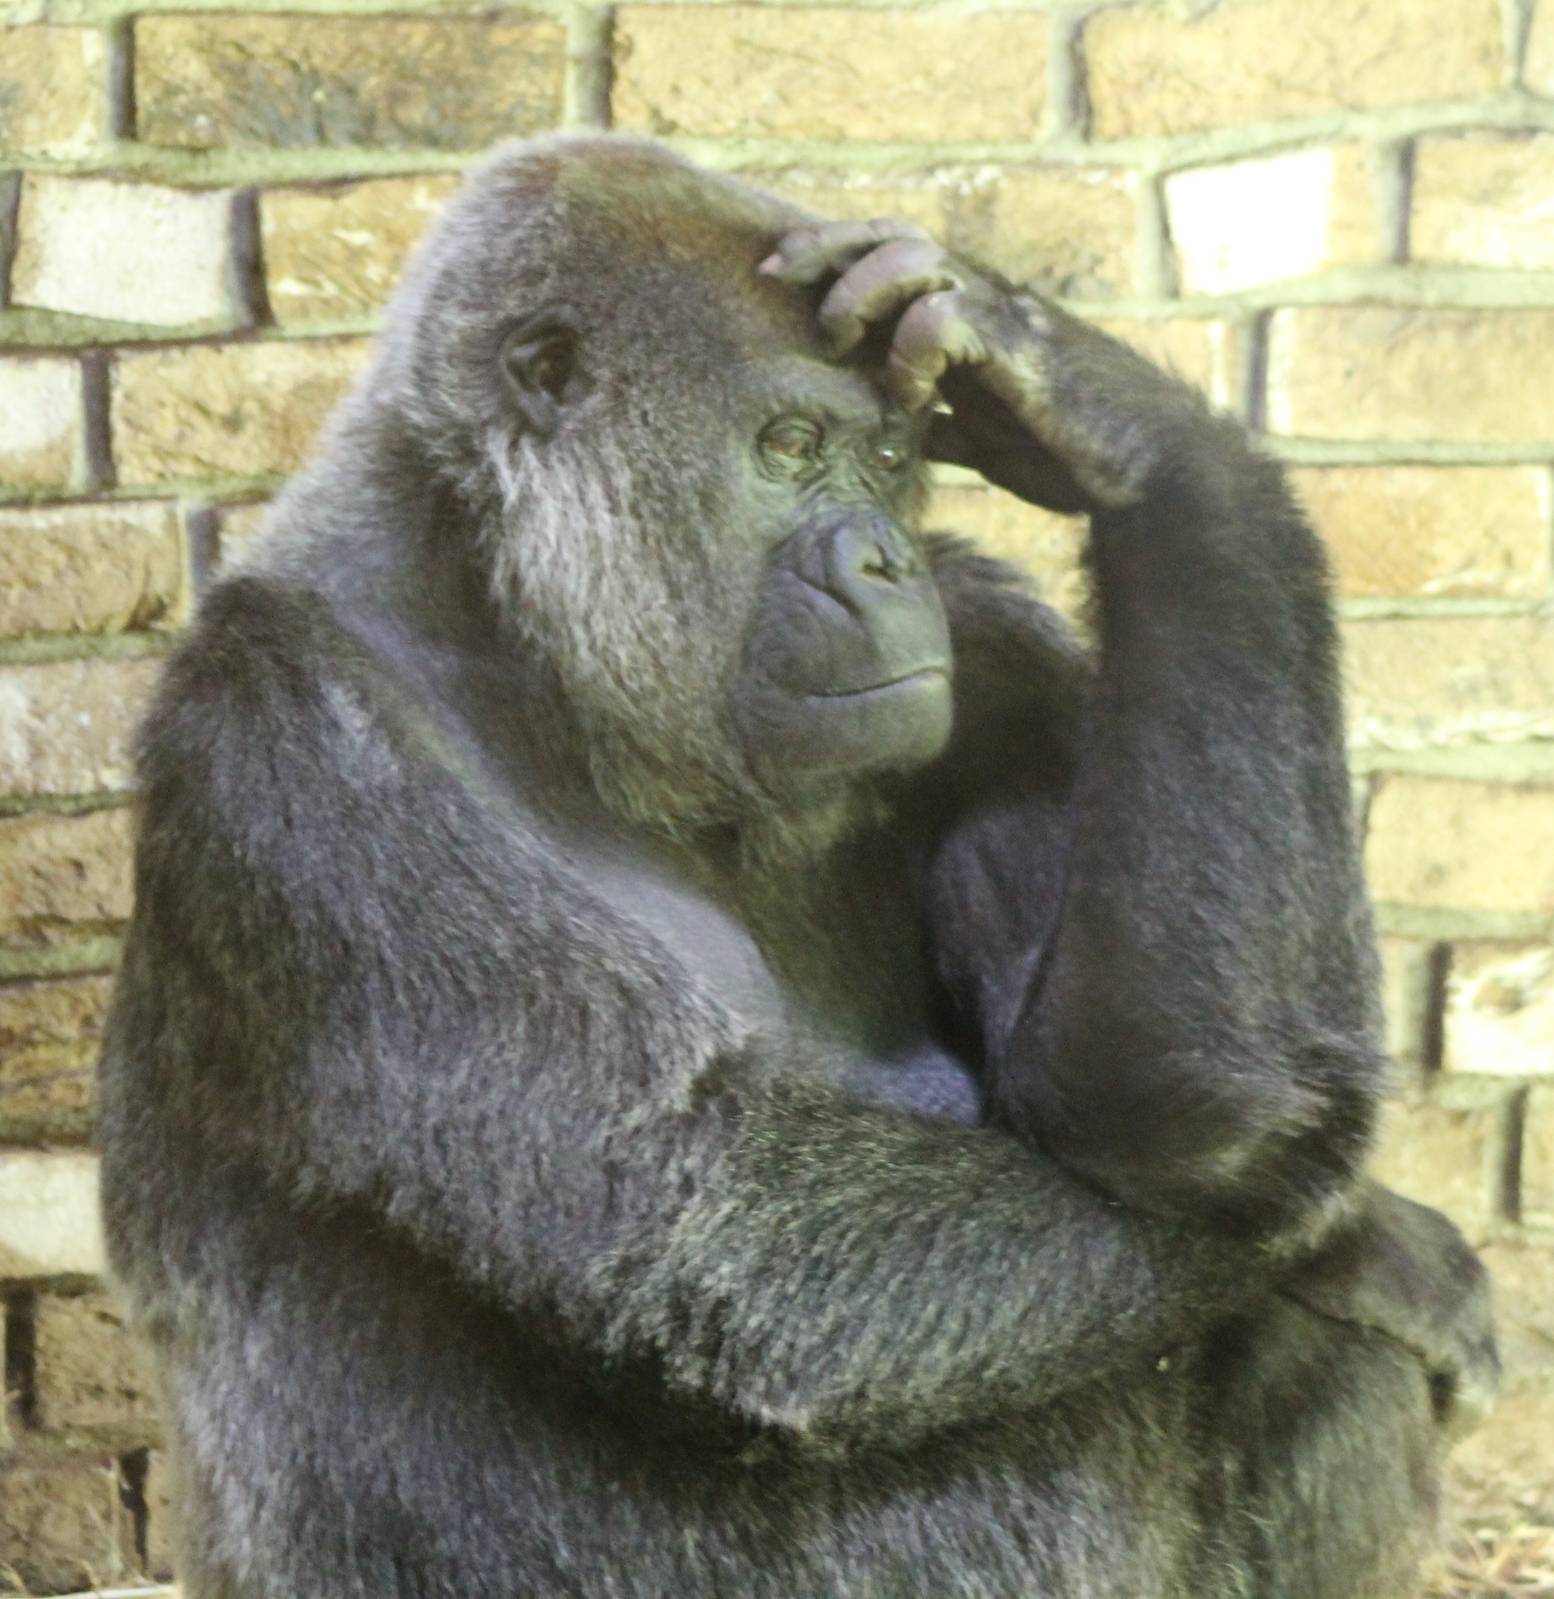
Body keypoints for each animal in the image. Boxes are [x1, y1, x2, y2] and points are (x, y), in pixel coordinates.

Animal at [98, 134, 1496, 1599]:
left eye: (887, 458)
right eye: (786, 447)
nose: (884, 561)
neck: (505, 608)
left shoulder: (990, 644)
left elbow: (1184, 1101)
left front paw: (1115, 420)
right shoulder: (287, 729)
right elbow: (741, 1241)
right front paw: (1383, 1242)